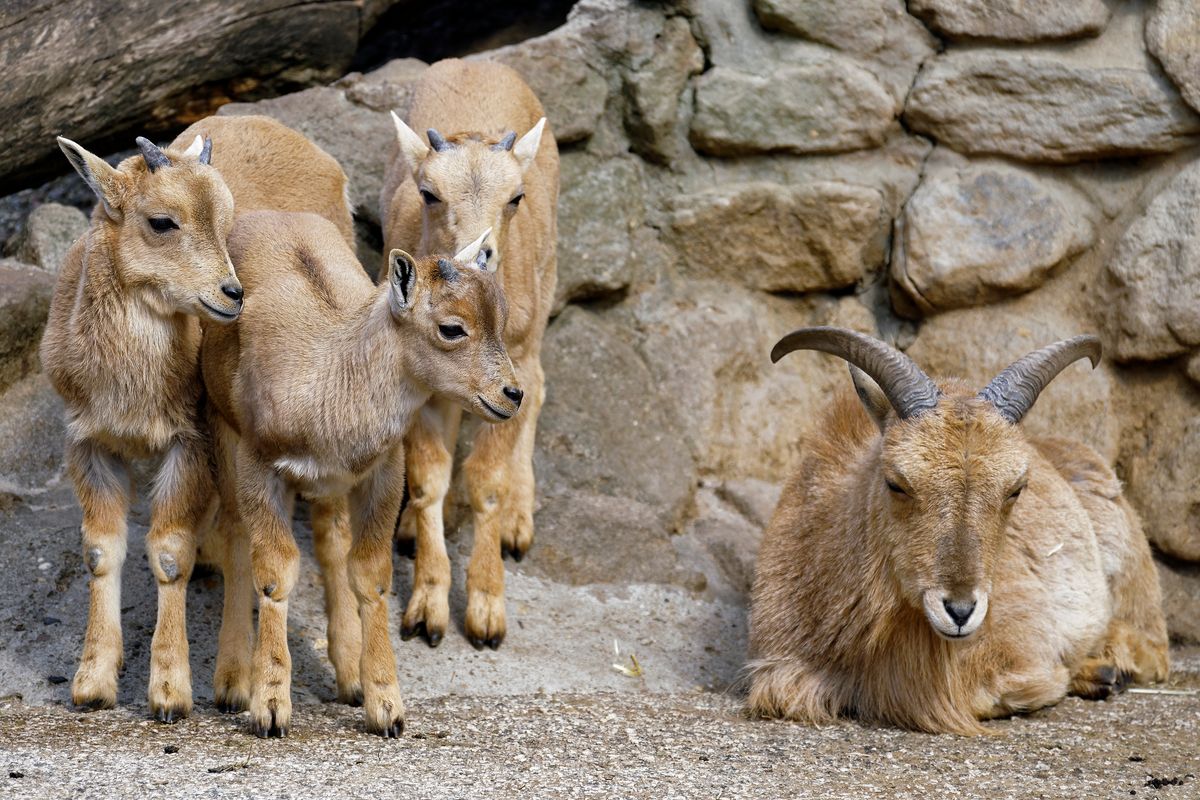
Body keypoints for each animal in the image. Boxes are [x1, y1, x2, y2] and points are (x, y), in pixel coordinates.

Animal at [42, 131, 243, 719]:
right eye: (162, 221)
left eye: (227, 220)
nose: (232, 293)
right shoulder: (86, 443)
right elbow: (101, 551)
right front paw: (92, 682)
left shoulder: (190, 442)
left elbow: (170, 554)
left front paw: (171, 691)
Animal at [202, 212, 520, 738]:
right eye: (452, 328)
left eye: (502, 316)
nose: (512, 394)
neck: (330, 385)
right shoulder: (258, 463)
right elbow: (274, 572)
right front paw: (270, 707)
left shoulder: (382, 474)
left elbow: (369, 575)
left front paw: (386, 707)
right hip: (221, 428)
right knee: (235, 534)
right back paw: (232, 681)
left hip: (332, 487)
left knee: (332, 543)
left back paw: (349, 672)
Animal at [379, 61, 556, 652]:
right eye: (429, 192)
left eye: (516, 196)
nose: (479, 255)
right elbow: (430, 476)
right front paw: (426, 610)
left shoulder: (511, 368)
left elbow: (486, 482)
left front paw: (485, 612)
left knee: (541, 386)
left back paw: (520, 523)